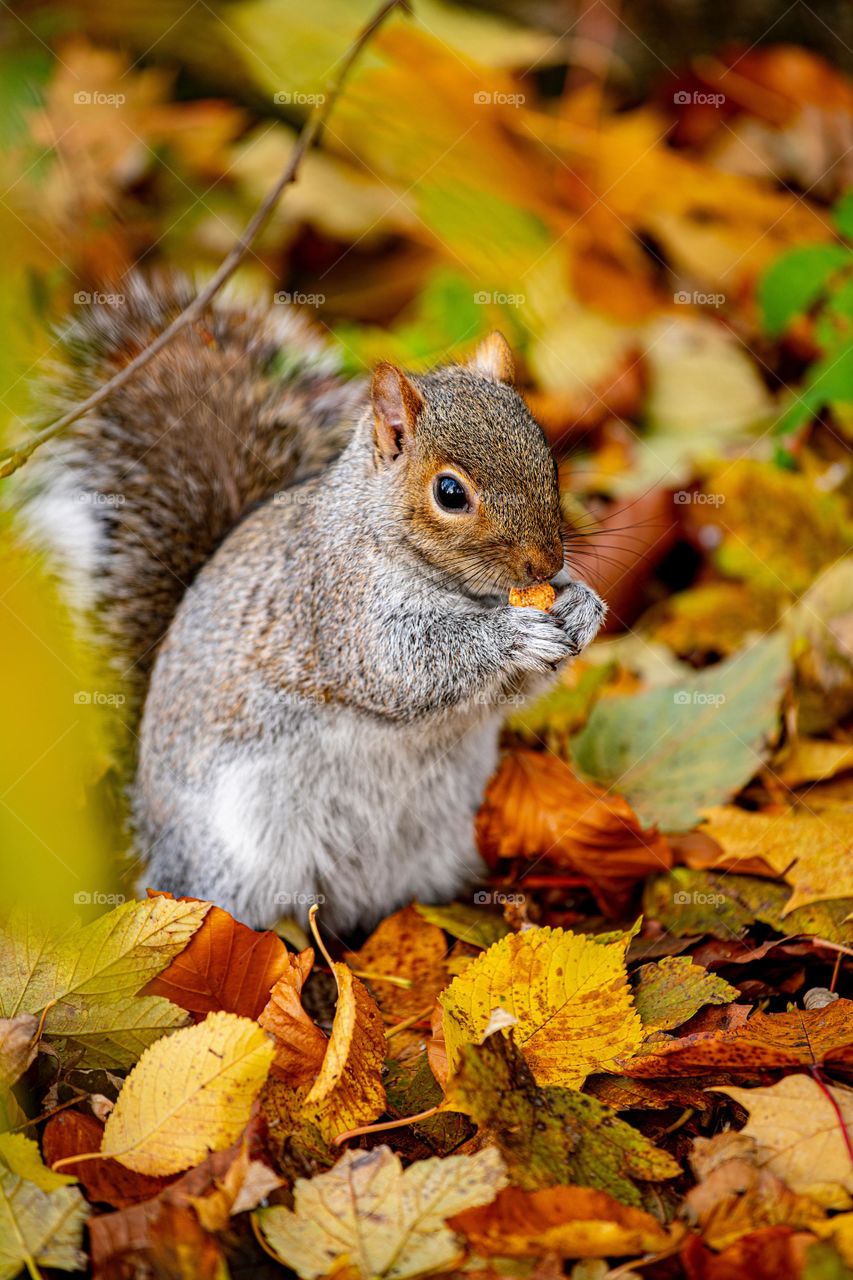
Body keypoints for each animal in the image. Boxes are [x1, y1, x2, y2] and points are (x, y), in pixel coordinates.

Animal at [21, 275, 606, 933]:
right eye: (450, 493)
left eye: (548, 455)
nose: (545, 565)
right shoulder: (339, 607)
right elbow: (406, 667)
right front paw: (514, 634)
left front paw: (582, 607)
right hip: (243, 857)